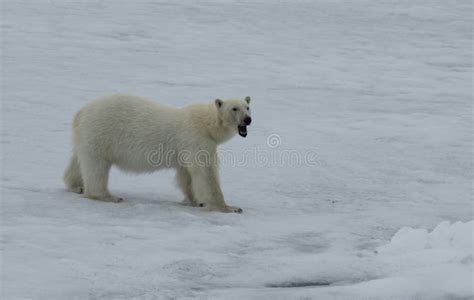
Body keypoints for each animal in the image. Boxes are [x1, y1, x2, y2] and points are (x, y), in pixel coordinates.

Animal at [63, 94, 252, 213]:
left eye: (248, 107)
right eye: (234, 108)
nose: (248, 119)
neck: (208, 124)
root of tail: (80, 113)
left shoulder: (185, 149)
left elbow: (186, 175)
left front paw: (194, 200)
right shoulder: (196, 138)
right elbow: (206, 172)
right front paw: (230, 207)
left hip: (87, 136)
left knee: (79, 160)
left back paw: (76, 185)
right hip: (101, 133)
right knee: (96, 167)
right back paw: (108, 196)